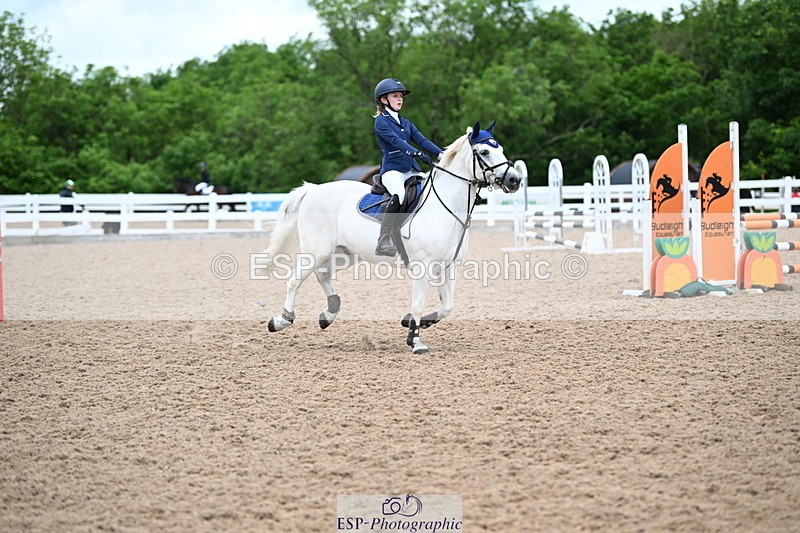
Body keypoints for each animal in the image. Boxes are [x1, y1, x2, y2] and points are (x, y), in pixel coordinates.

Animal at [262, 121, 522, 355]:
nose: (514, 180)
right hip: (316, 250)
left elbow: (448, 306)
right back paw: (281, 320)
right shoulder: (422, 266)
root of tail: (313, 189)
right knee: (294, 280)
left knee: (322, 274)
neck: (445, 206)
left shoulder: (448, 266)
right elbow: (418, 303)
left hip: (343, 253)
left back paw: (329, 314)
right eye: (485, 152)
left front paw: (413, 323)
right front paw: (415, 342)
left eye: (501, 149)